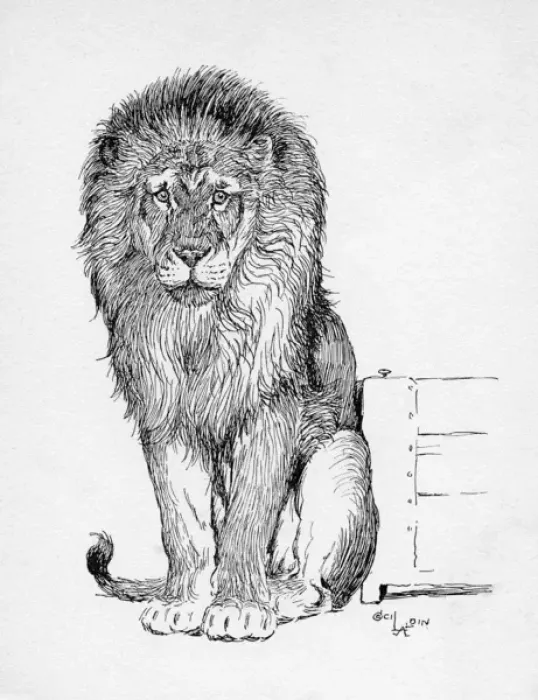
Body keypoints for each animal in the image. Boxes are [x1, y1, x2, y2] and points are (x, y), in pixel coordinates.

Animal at [79, 67, 378, 641]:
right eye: (163, 195)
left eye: (221, 196)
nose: (192, 253)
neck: (197, 325)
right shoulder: (165, 417)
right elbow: (184, 525)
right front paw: (181, 604)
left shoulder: (270, 408)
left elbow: (248, 517)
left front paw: (239, 608)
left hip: (343, 456)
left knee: (320, 588)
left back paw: (279, 597)